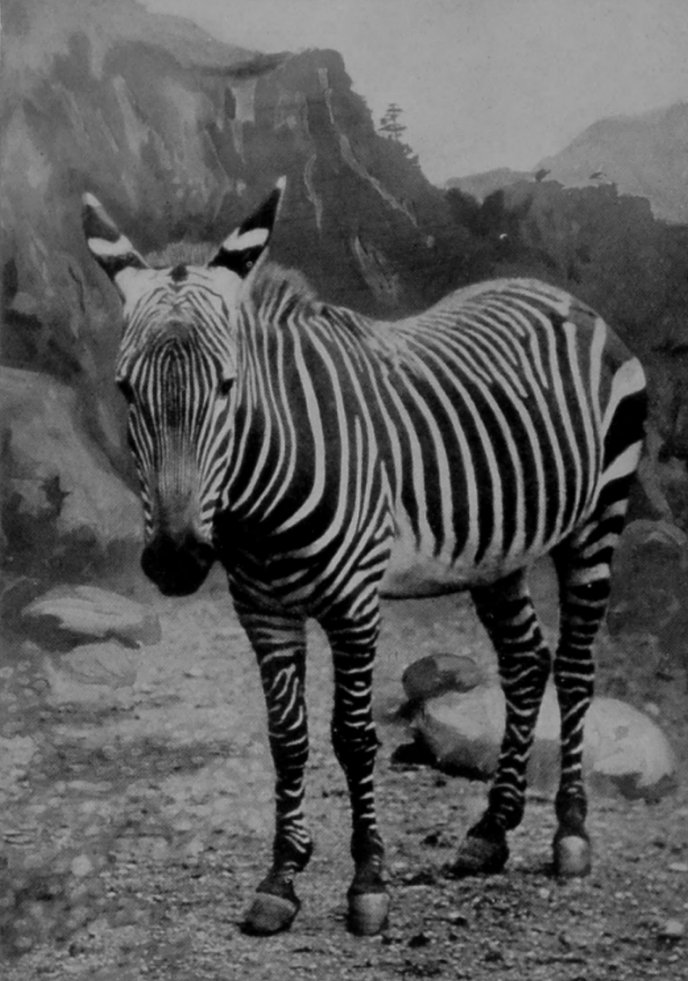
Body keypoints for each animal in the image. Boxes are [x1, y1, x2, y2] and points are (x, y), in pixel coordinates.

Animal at [82, 179, 646, 937]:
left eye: (228, 385)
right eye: (126, 389)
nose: (175, 561)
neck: (258, 500)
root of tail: (558, 294)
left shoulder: (354, 603)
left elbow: (352, 737)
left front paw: (367, 880)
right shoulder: (261, 609)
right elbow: (286, 738)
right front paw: (281, 879)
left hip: (598, 517)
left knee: (578, 669)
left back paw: (571, 834)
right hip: (497, 553)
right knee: (528, 663)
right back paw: (491, 831)